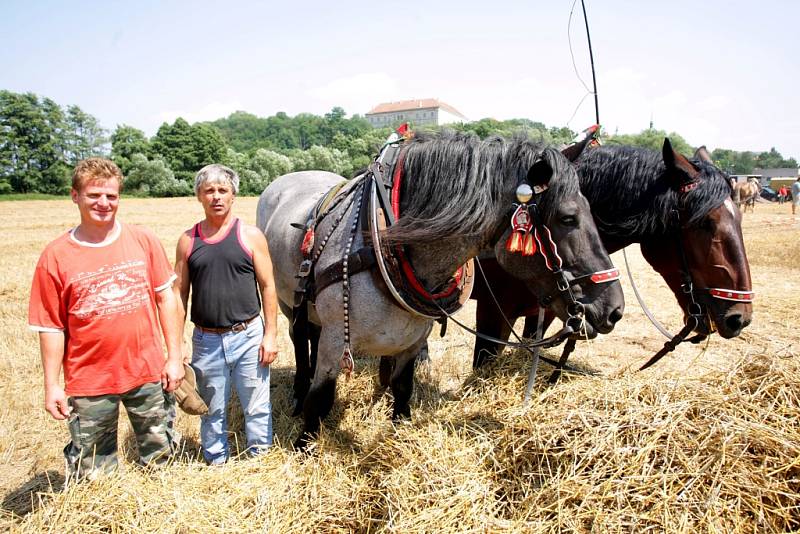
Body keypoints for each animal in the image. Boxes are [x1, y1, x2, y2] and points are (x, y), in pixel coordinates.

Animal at [256, 132, 624, 450]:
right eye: (567, 218)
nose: (614, 309)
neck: (384, 239)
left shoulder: (412, 339)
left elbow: (403, 389)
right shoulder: (337, 340)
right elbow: (320, 400)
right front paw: (304, 445)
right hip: (290, 303)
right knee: (300, 340)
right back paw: (298, 391)